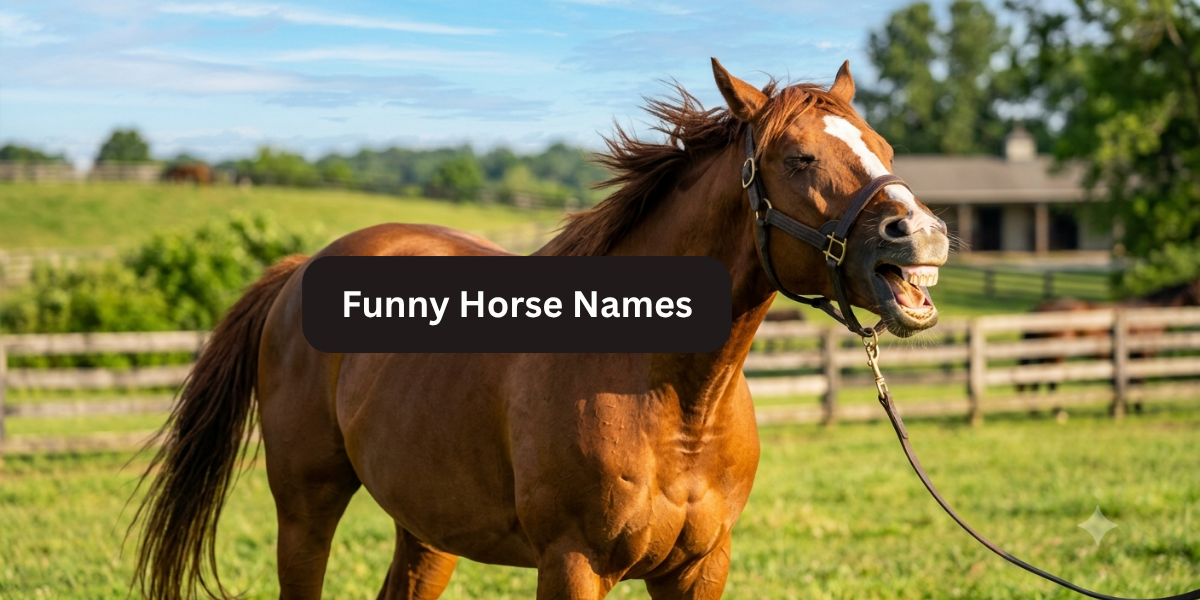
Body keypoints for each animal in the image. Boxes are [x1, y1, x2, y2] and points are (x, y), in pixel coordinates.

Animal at [133, 59, 950, 600]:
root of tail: (303, 267)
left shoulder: (699, 569)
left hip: (425, 525)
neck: (672, 399)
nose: (924, 235)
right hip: (306, 508)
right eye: (801, 157)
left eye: (884, 148)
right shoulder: (573, 565)